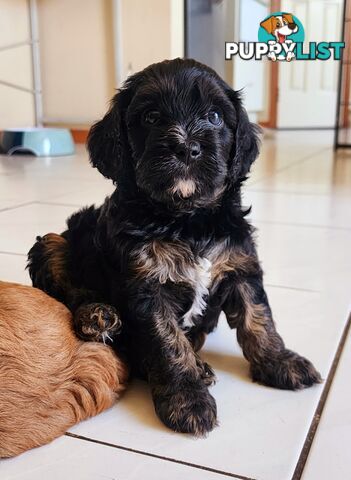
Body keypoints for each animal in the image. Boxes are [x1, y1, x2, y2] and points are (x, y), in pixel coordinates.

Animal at [28, 58, 324, 436]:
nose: (185, 148)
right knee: (74, 294)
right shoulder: (148, 287)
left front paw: (281, 362)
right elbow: (167, 343)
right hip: (54, 243)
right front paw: (187, 401)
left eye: (215, 116)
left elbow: (259, 318)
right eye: (151, 117)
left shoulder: (240, 265)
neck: (187, 219)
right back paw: (98, 317)